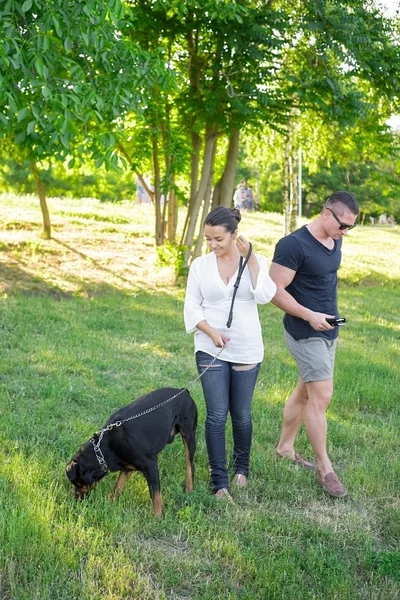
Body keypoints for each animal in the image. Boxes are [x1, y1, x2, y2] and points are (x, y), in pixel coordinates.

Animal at [66, 390, 198, 516]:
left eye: (76, 483)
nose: (76, 499)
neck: (102, 450)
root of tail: (184, 391)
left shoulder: (150, 465)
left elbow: (155, 495)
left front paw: (158, 517)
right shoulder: (127, 466)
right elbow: (118, 486)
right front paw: (110, 503)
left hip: (189, 435)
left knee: (190, 465)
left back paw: (189, 491)